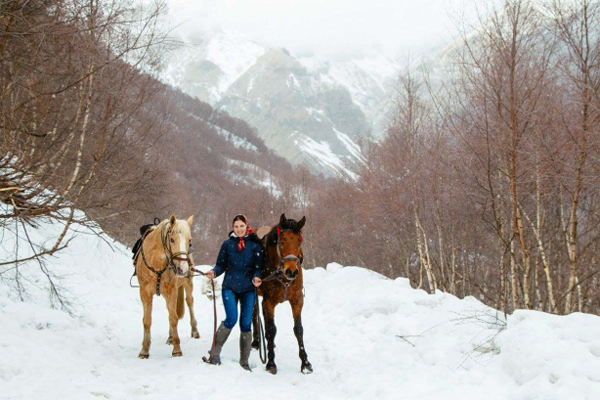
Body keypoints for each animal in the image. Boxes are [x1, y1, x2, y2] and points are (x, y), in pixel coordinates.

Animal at [134, 214, 198, 358]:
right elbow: (147, 320)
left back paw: (194, 331)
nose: (183, 269)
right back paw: (170, 337)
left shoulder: (172, 291)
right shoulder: (145, 293)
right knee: (170, 309)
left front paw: (177, 349)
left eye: (189, 241)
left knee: (189, 302)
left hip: (187, 284)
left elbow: (173, 318)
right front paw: (144, 350)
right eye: (172, 239)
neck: (156, 262)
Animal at [251, 214, 312, 374]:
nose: (291, 271)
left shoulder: (297, 300)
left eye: (299, 240)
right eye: (282, 240)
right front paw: (271, 363)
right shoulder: (269, 302)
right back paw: (256, 341)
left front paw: (305, 362)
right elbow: (272, 330)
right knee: (254, 315)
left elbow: (298, 330)